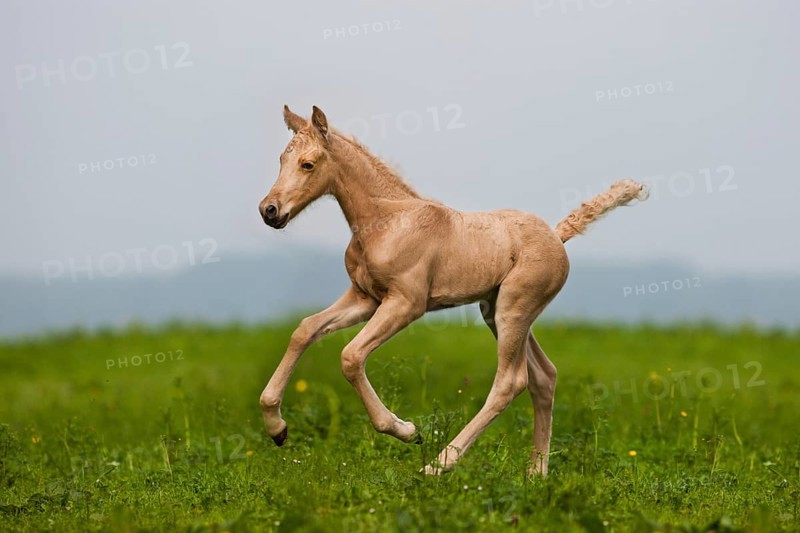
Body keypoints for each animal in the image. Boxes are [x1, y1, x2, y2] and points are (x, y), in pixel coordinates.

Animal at [257, 105, 647, 476]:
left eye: (308, 164)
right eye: (281, 160)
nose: (269, 211)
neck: (387, 222)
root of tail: (557, 235)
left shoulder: (406, 303)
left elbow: (351, 357)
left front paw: (407, 430)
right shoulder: (365, 298)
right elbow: (305, 329)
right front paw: (277, 428)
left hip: (514, 310)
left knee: (511, 381)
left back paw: (438, 464)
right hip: (496, 311)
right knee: (544, 376)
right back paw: (536, 473)